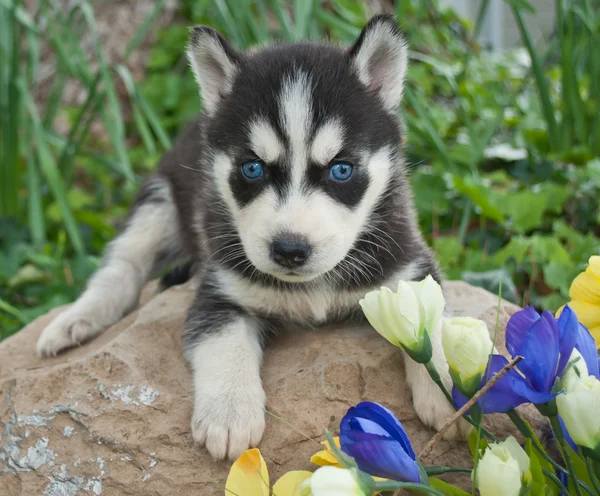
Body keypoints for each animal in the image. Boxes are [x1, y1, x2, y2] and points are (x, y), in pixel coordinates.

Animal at [36, 13, 464, 460]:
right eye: (252, 168)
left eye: (341, 169)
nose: (290, 250)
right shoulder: (221, 290)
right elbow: (224, 343)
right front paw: (229, 413)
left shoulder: (411, 268)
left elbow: (433, 329)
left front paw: (449, 396)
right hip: (159, 201)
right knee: (121, 267)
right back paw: (74, 321)